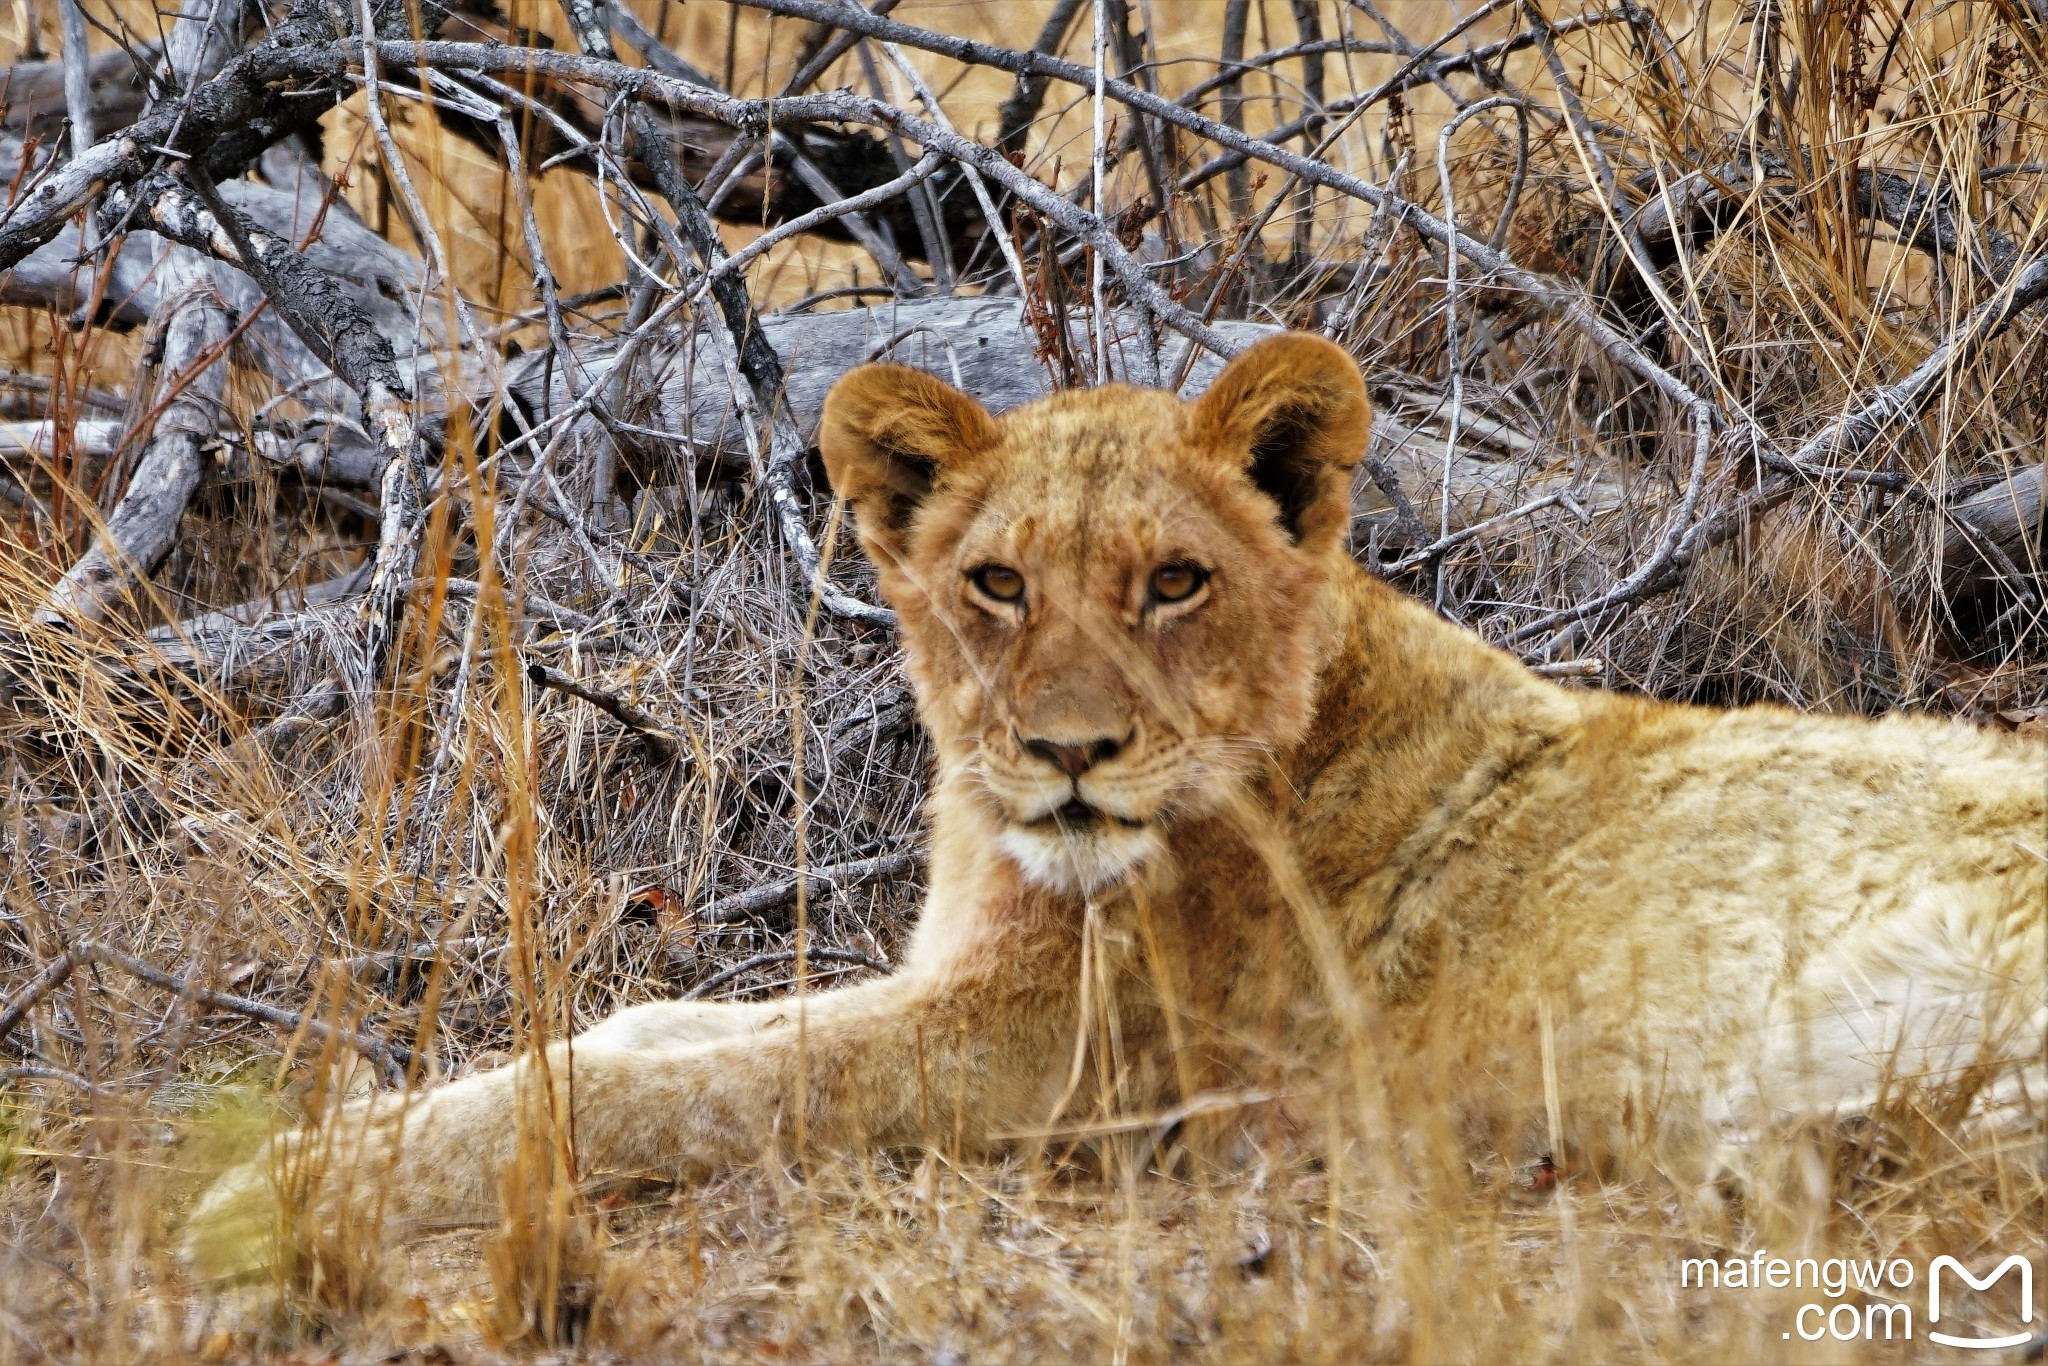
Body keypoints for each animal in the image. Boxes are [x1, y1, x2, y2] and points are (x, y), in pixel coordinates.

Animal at [188, 333, 2031, 1261]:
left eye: (1171, 582)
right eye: (997, 585)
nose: (1068, 751)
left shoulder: (1048, 1064)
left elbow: (683, 1094)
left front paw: (278, 1189)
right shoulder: (949, 980)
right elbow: (646, 1033)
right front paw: (331, 1130)